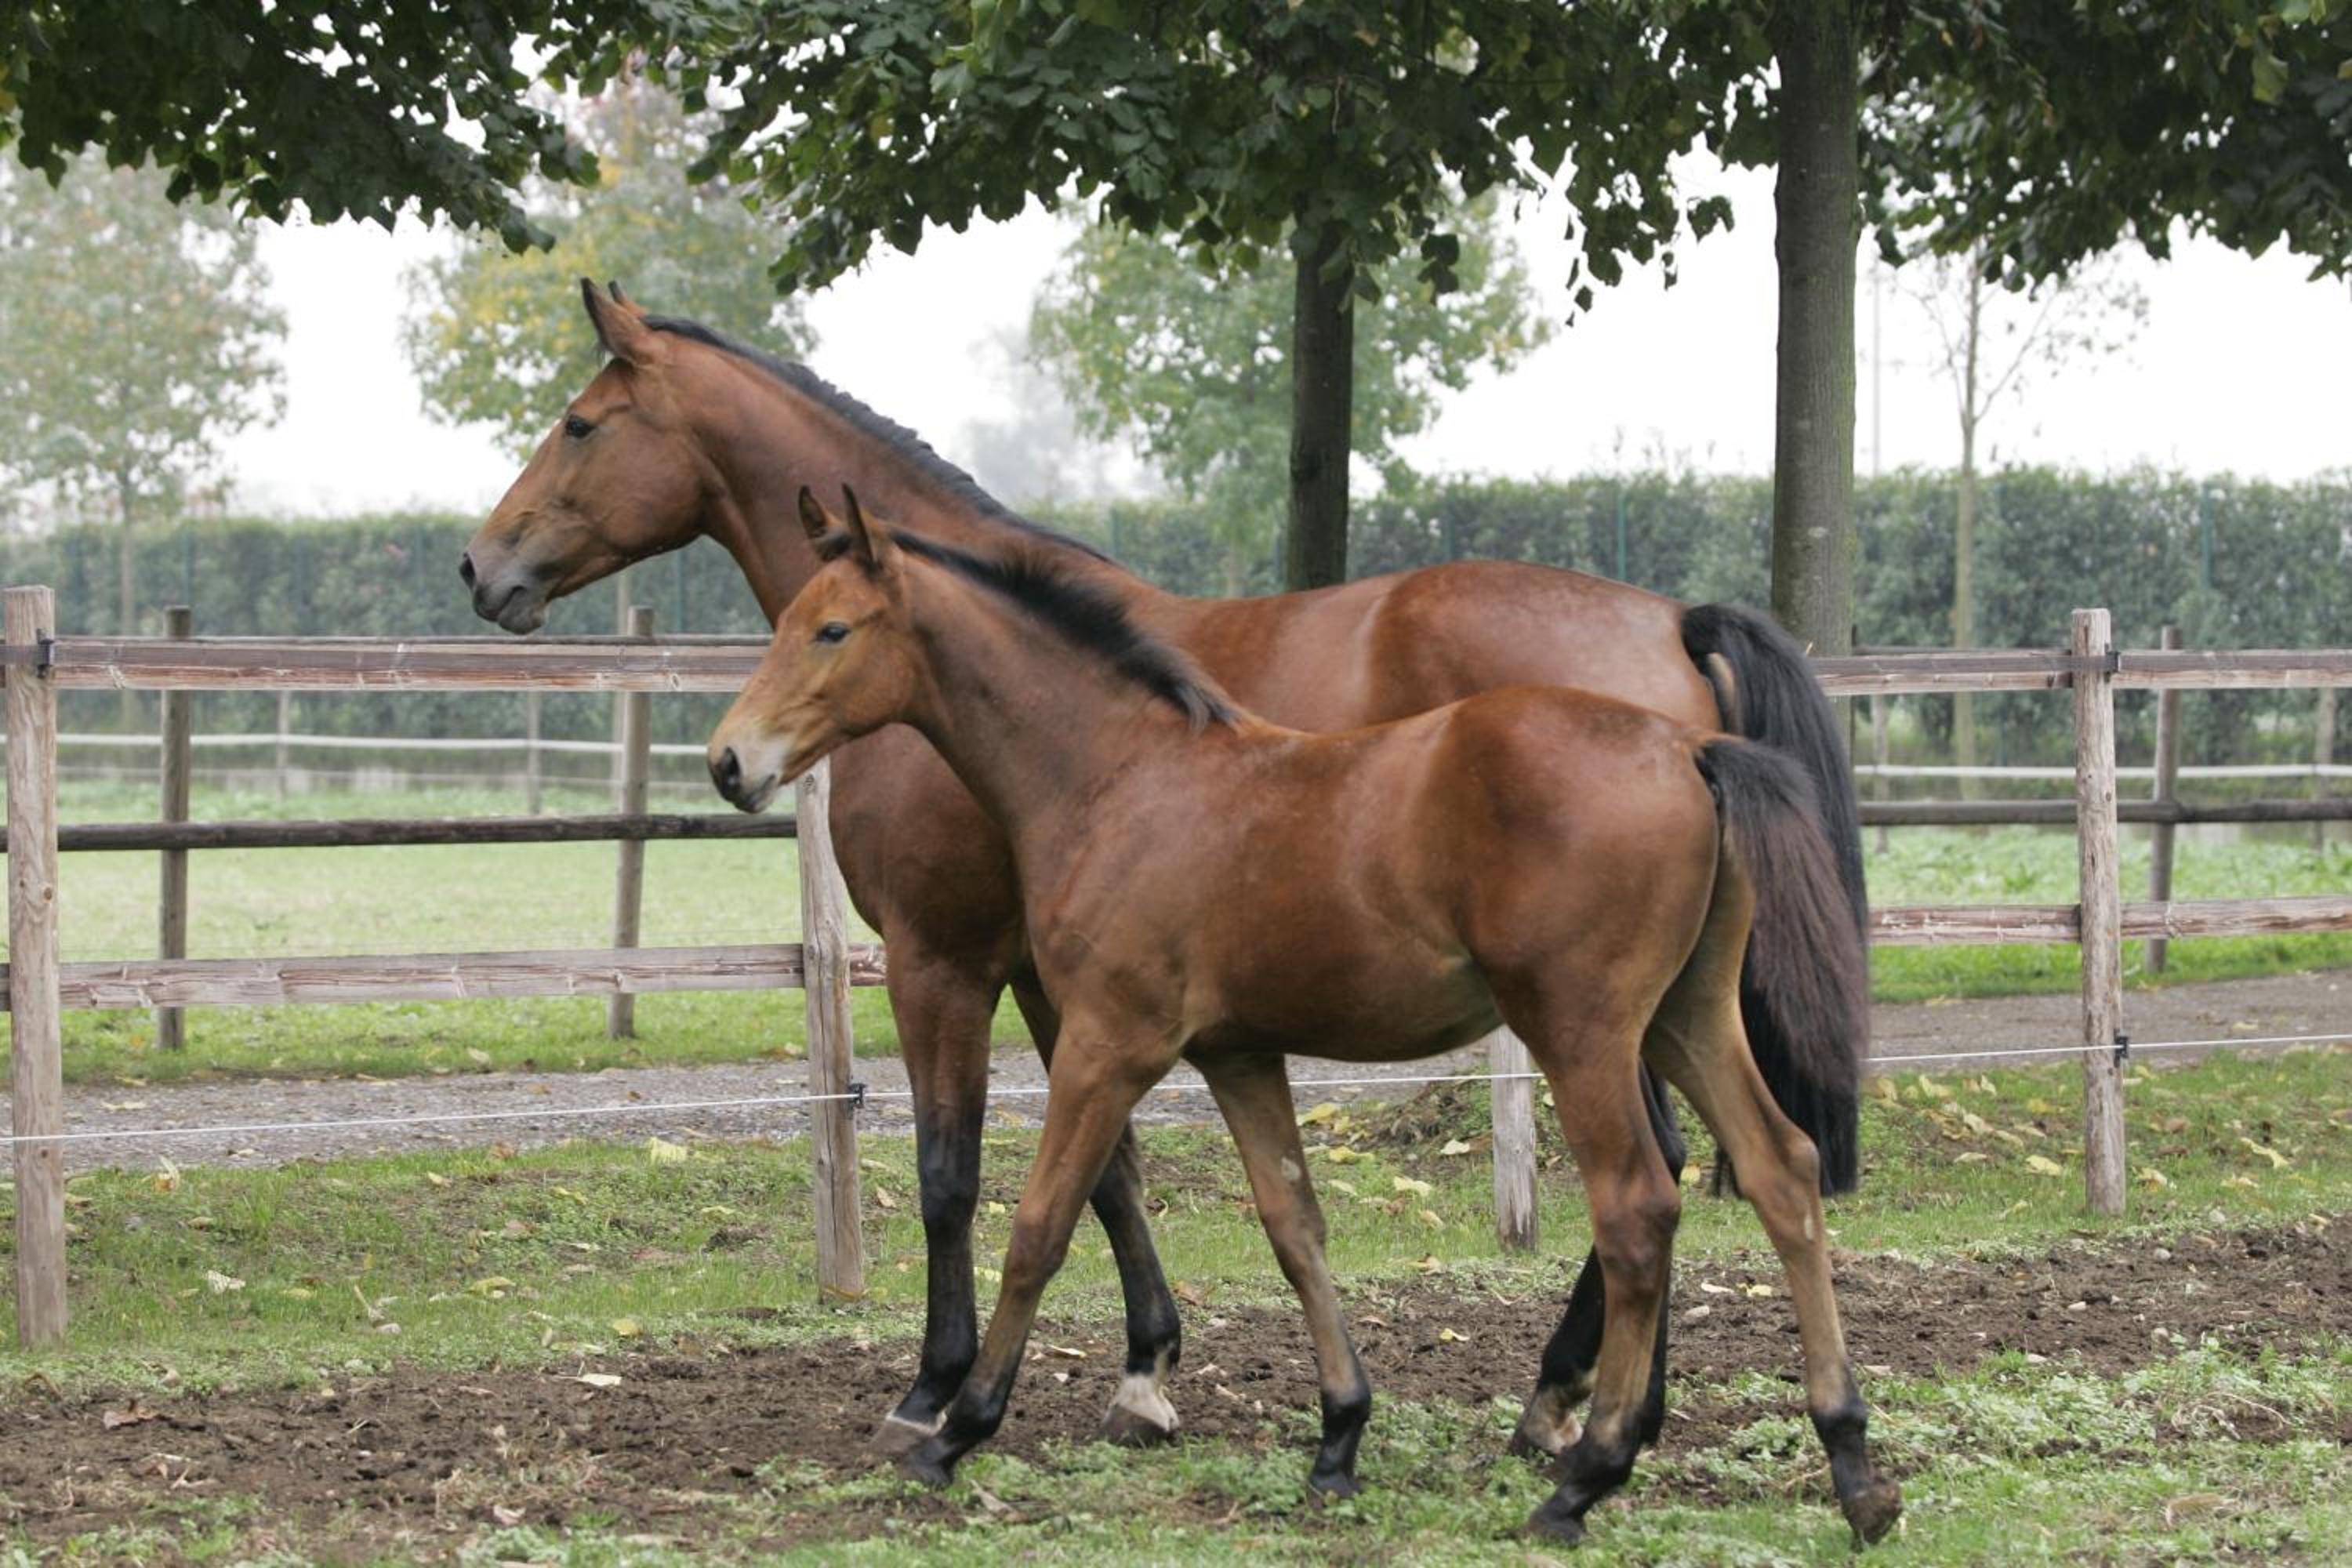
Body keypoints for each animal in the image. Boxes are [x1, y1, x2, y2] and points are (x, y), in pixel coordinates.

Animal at [462, 282, 1870, 1462]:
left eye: (581, 424)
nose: (482, 568)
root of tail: (1672, 632)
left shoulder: (943, 958)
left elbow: (957, 1175)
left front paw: (937, 1386)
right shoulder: (1066, 978)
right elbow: (1112, 1173)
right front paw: (1146, 1370)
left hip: (1584, 1007)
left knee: (1659, 1170)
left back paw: (1571, 1403)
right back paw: (1596, 1404)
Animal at [704, 487, 1900, 1544]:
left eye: (831, 629)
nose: (729, 761)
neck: (1119, 774)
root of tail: (1690, 748)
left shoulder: (1109, 1039)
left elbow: (1040, 1225)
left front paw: (955, 1427)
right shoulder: (1239, 1054)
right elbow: (1294, 1226)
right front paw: (1337, 1438)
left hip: (1584, 1030)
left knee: (1640, 1206)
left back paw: (1585, 1471)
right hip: (1685, 1018)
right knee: (1783, 1168)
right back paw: (1852, 1465)